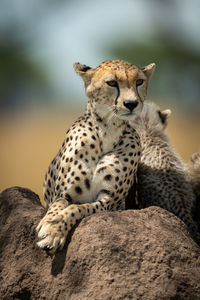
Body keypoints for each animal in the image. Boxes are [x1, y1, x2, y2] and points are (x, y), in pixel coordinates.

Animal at [36, 59, 155, 253]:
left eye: (139, 82)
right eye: (112, 83)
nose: (131, 103)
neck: (108, 130)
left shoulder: (110, 202)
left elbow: (77, 208)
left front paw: (53, 232)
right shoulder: (62, 194)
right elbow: (56, 206)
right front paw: (47, 222)